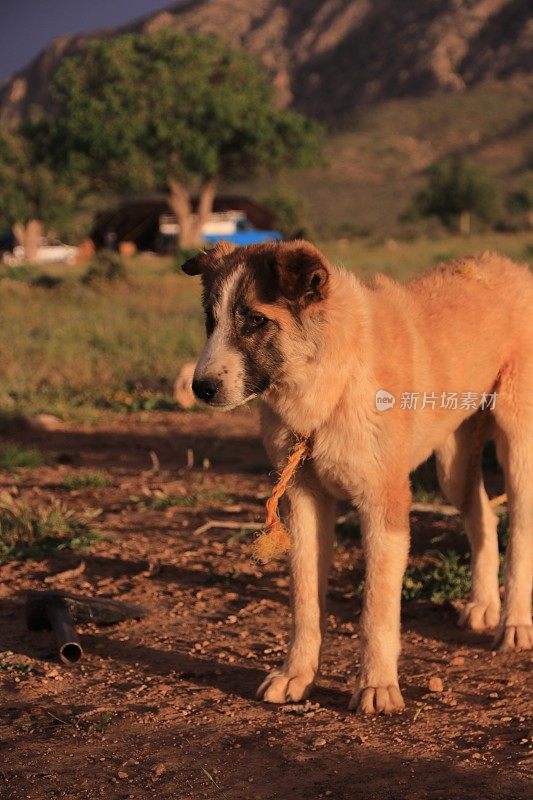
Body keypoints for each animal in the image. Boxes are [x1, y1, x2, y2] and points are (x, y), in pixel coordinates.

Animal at [183, 241, 532, 716]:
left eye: (255, 320)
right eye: (210, 319)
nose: (200, 388)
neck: (332, 380)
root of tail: (508, 266)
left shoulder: (384, 503)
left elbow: (376, 610)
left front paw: (377, 685)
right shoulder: (304, 502)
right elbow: (305, 602)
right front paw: (296, 675)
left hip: (517, 447)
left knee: (520, 534)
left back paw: (515, 622)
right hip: (454, 466)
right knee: (483, 517)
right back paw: (483, 605)